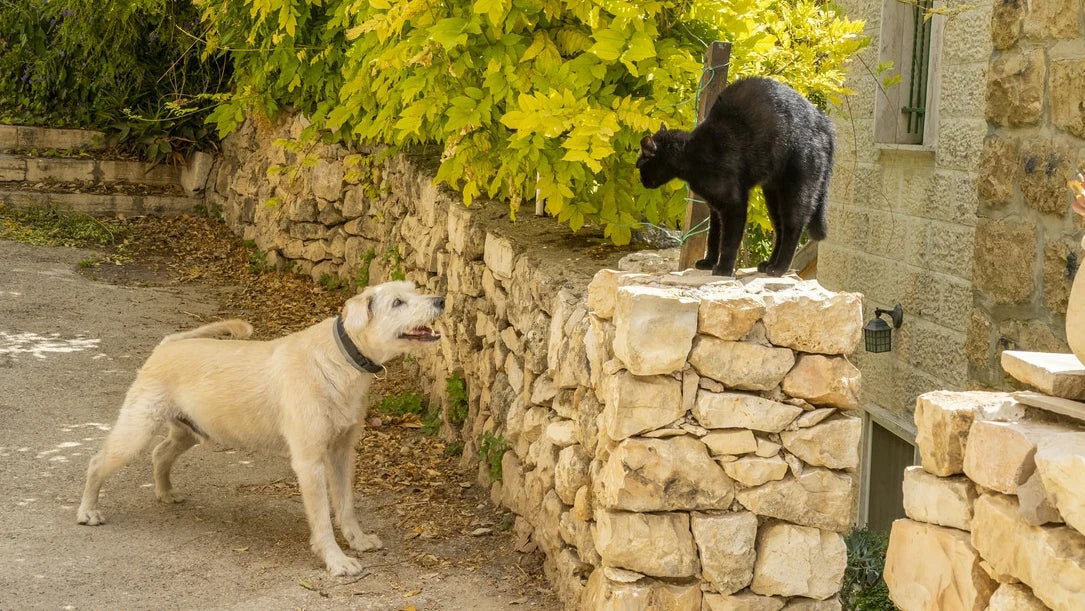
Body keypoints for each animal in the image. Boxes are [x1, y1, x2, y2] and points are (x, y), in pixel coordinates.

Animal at [77, 279, 444, 577]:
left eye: (413, 289)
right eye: (397, 302)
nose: (440, 300)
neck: (339, 358)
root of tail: (167, 344)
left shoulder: (341, 452)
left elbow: (346, 503)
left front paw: (358, 539)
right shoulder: (309, 461)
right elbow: (322, 517)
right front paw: (336, 561)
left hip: (188, 431)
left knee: (160, 453)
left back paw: (166, 492)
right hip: (136, 430)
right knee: (97, 462)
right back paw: (88, 511)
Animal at [637, 77, 833, 277]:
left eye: (640, 167)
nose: (641, 181)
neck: (693, 153)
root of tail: (823, 121)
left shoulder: (734, 204)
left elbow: (729, 241)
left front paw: (723, 269)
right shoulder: (715, 207)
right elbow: (713, 236)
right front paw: (709, 262)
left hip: (796, 189)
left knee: (793, 227)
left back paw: (779, 268)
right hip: (772, 195)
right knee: (779, 229)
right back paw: (768, 264)